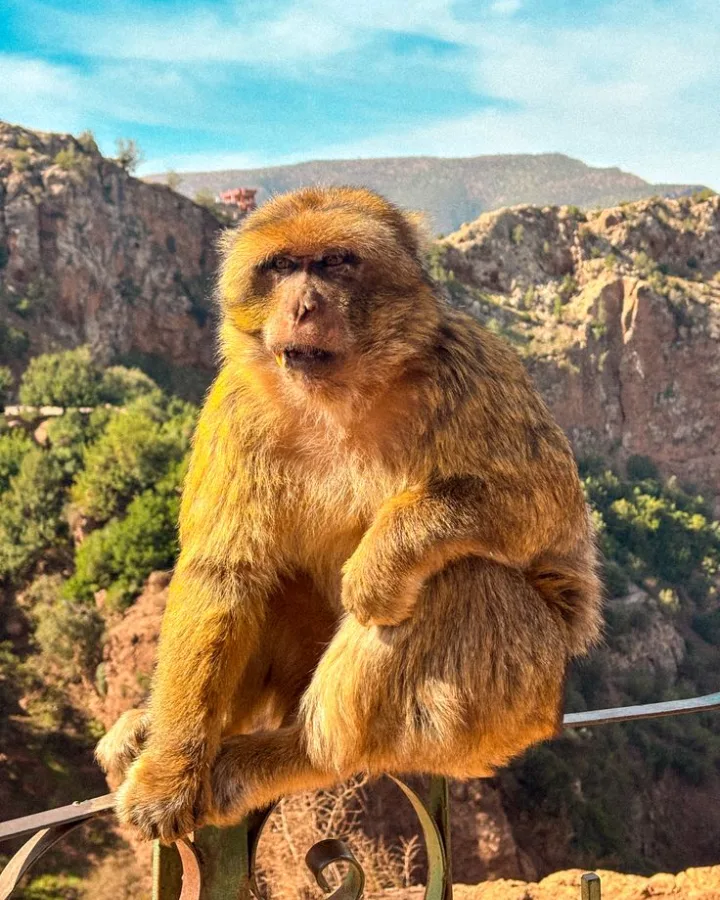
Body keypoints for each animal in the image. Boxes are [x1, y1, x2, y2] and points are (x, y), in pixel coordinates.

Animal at [96, 186, 602, 843]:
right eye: (282, 267)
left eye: (336, 262)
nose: (304, 305)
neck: (339, 400)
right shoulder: (235, 404)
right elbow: (224, 572)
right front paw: (169, 769)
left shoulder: (474, 366)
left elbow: (543, 502)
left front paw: (380, 563)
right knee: (274, 579)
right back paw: (161, 729)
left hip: (519, 696)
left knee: (460, 581)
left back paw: (308, 752)